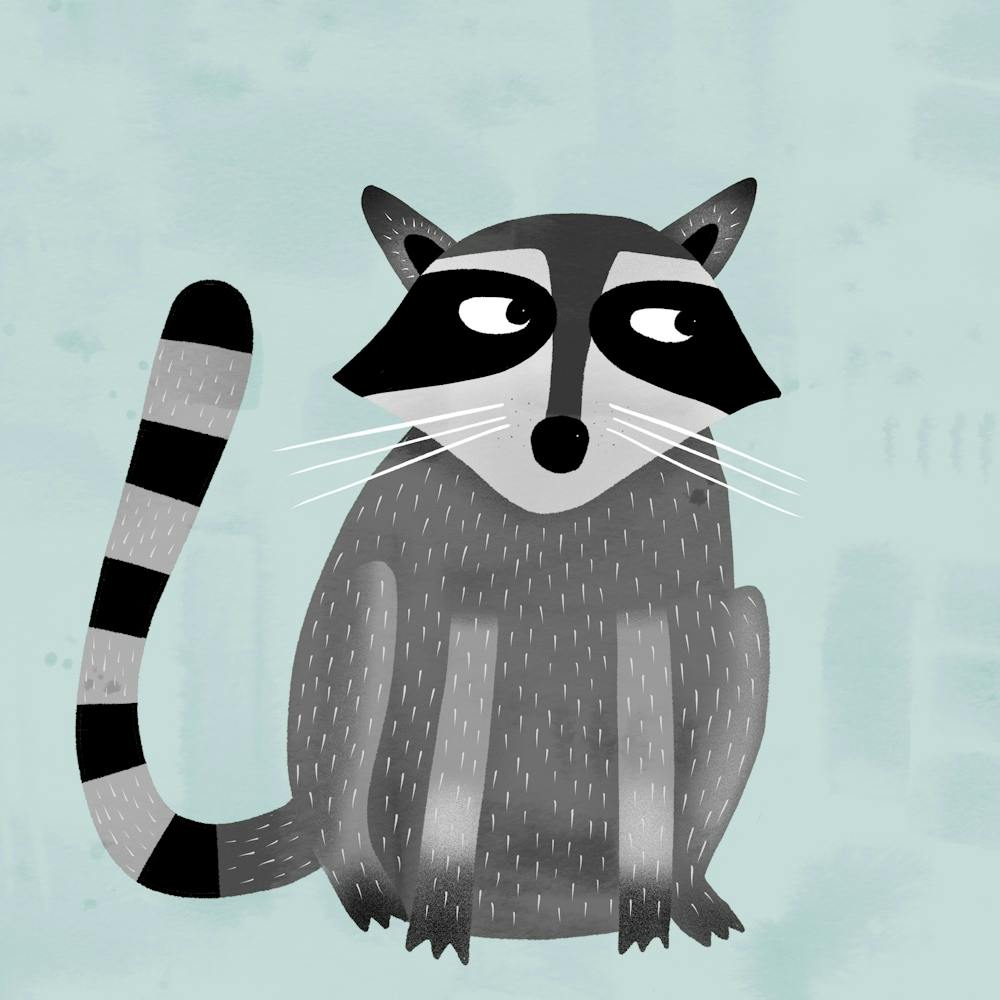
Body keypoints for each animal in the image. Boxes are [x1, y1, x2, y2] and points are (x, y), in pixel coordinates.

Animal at [77, 179, 783, 963]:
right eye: (496, 316)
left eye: (665, 324)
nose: (560, 437)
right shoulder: (441, 534)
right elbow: (456, 670)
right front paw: (443, 896)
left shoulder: (672, 548)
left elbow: (660, 667)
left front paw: (657, 886)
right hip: (347, 725)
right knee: (369, 609)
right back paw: (371, 877)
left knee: (743, 619)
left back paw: (676, 882)